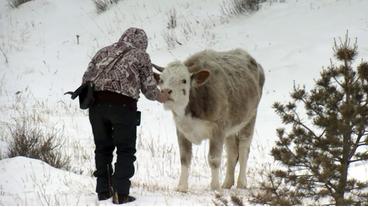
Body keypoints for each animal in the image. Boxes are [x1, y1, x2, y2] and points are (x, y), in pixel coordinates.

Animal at [155, 47, 264, 192]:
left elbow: (214, 159)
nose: (166, 92)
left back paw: (241, 183)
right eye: (161, 80)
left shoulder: (218, 129)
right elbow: (184, 158)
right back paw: (227, 183)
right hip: (229, 128)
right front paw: (182, 186)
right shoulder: (182, 131)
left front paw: (215, 186)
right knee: (232, 151)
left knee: (243, 150)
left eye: (184, 80)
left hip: (250, 119)